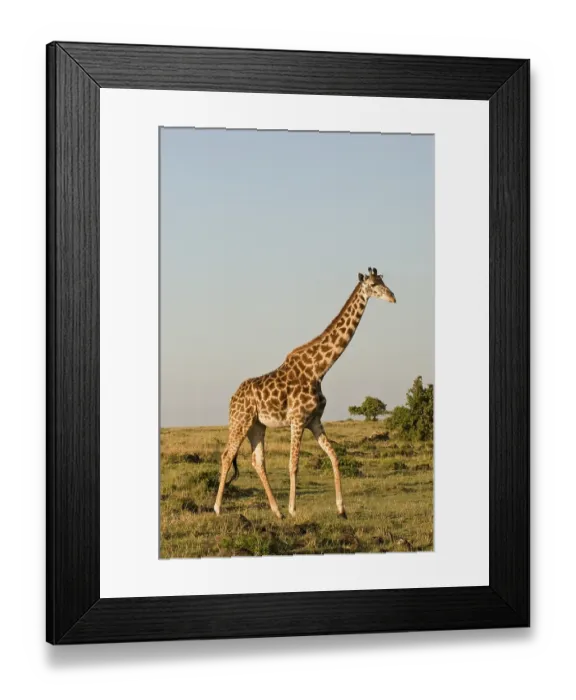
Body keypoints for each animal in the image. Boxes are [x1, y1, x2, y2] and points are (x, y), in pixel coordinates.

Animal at [213, 267, 397, 519]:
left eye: (383, 280)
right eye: (372, 285)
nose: (393, 297)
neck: (319, 370)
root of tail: (232, 398)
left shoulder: (315, 420)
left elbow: (334, 456)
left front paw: (341, 508)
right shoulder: (298, 419)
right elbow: (294, 464)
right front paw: (293, 509)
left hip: (256, 426)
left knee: (257, 461)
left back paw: (276, 511)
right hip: (240, 421)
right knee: (226, 455)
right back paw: (218, 508)